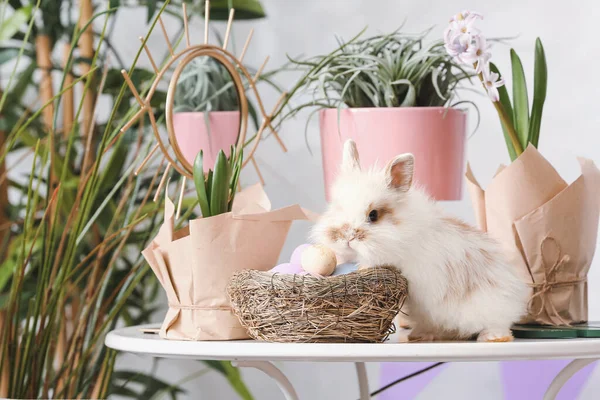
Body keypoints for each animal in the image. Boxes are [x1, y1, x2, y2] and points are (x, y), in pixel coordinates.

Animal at [312, 140, 528, 340]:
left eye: (373, 215)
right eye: (337, 208)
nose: (347, 236)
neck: (401, 229)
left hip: (490, 308)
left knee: (501, 326)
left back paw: (492, 337)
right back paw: (419, 335)